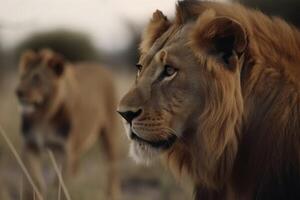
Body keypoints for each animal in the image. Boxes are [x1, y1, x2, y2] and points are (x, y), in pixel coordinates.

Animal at [16, 48, 119, 200]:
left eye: (37, 78)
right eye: (22, 77)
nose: (18, 92)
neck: (43, 115)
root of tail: (102, 68)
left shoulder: (65, 150)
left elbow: (59, 182)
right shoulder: (30, 145)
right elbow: (34, 181)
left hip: (109, 134)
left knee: (111, 166)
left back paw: (111, 193)